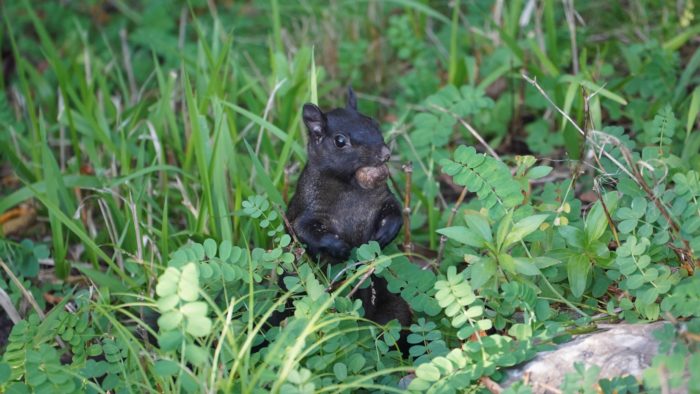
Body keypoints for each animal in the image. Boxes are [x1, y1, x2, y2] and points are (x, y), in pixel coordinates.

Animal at [288, 89, 412, 354]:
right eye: (339, 141)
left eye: (374, 122)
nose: (385, 154)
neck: (349, 186)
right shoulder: (307, 209)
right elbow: (304, 231)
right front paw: (340, 247)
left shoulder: (384, 199)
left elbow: (395, 212)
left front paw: (384, 235)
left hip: (396, 311)